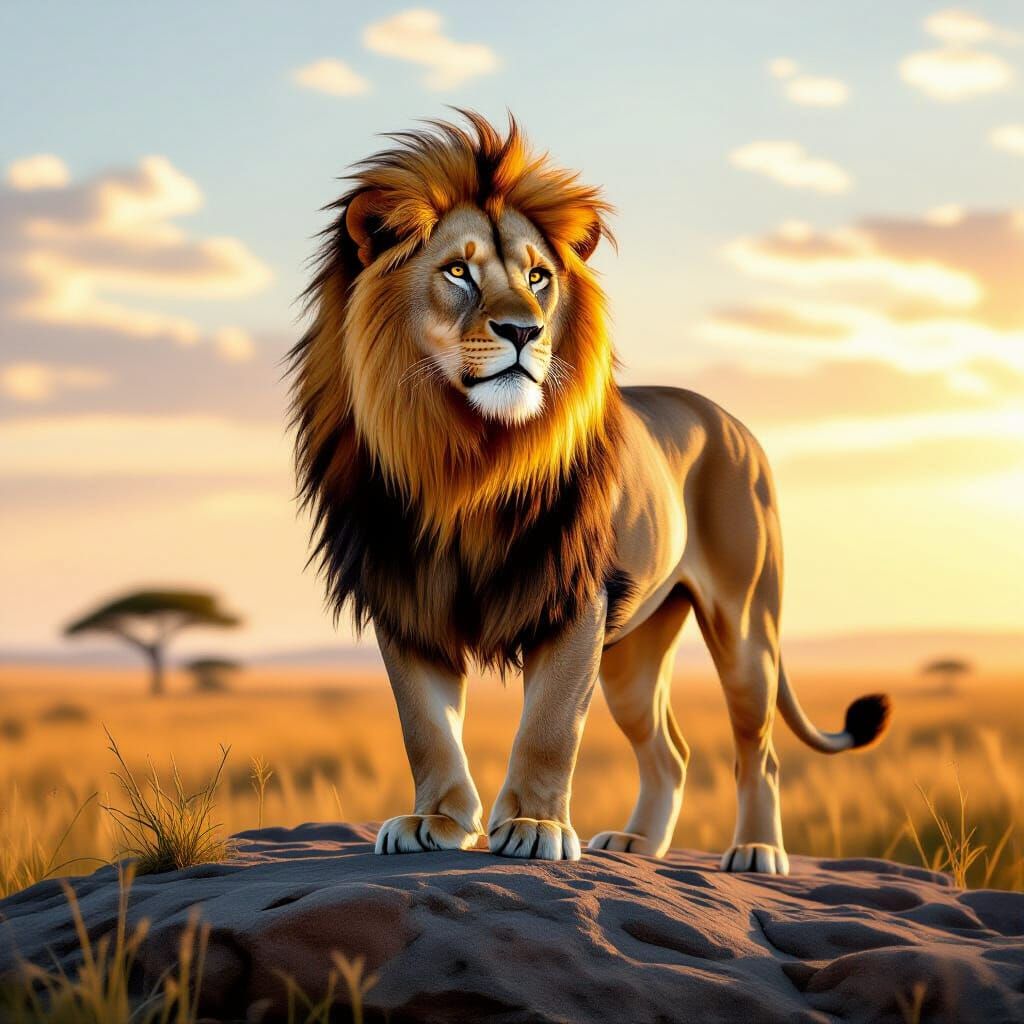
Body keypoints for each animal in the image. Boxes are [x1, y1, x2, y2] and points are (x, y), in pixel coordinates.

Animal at [289, 112, 891, 873]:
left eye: (538, 277)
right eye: (457, 271)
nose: (524, 331)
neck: (463, 458)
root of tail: (733, 423)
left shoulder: (575, 596)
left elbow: (549, 726)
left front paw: (534, 827)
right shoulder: (404, 592)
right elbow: (425, 725)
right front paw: (437, 821)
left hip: (746, 625)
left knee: (759, 749)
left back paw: (755, 850)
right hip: (634, 655)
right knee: (670, 751)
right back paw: (637, 844)